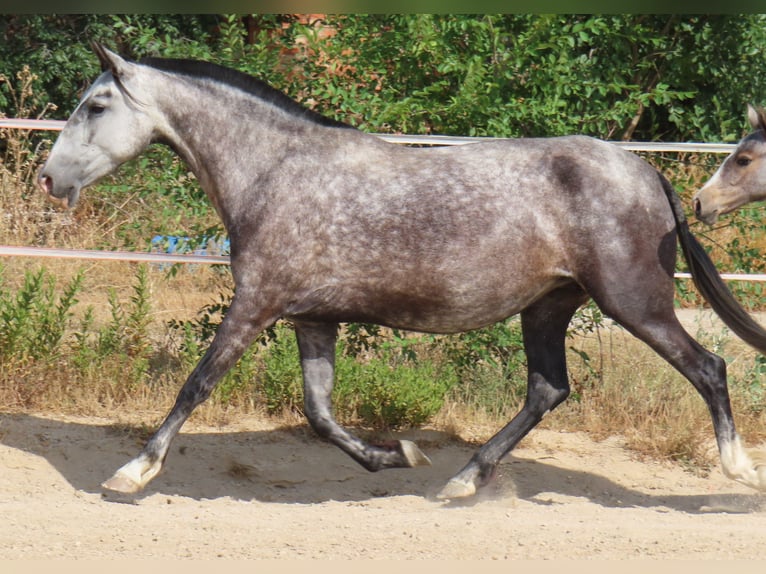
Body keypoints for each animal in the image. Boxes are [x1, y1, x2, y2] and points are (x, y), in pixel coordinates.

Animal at [39, 44, 766, 500]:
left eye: (97, 106)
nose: (48, 178)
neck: (273, 172)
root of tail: (646, 172)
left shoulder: (256, 304)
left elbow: (196, 385)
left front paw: (132, 473)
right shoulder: (312, 318)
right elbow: (319, 415)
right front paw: (397, 455)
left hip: (634, 302)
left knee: (708, 368)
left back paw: (737, 470)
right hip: (549, 305)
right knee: (547, 389)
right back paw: (460, 481)